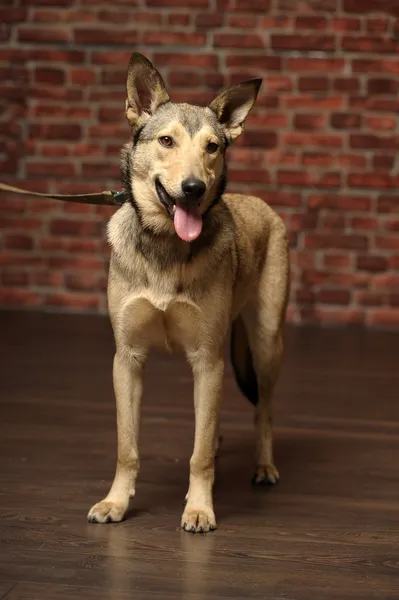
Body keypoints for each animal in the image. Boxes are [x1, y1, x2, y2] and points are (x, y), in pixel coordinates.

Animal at [86, 50, 290, 528]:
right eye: (166, 141)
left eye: (212, 147)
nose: (194, 188)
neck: (166, 244)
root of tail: (264, 206)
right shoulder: (127, 360)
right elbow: (127, 447)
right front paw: (116, 502)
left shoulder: (206, 360)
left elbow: (198, 457)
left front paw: (199, 507)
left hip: (266, 344)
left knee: (264, 409)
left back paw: (264, 465)